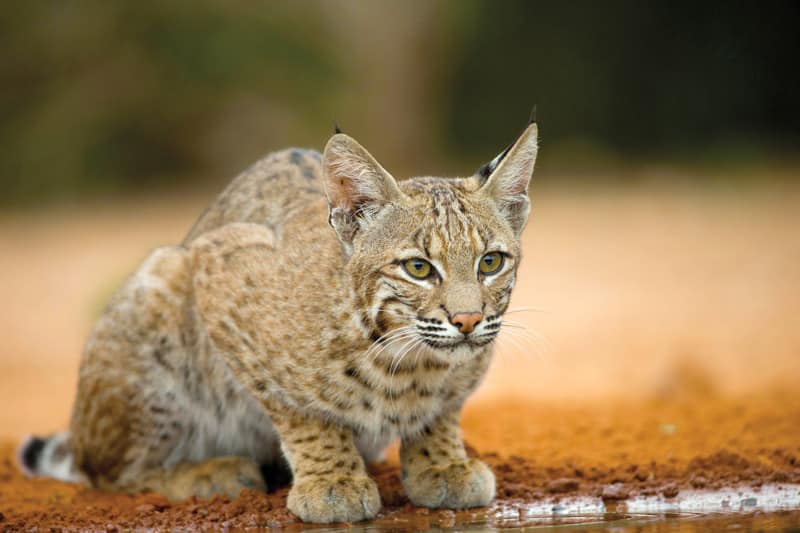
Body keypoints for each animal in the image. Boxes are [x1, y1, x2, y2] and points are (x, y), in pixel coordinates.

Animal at [18, 118, 540, 520]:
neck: (407, 358)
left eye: (490, 262)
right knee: (105, 473)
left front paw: (442, 464)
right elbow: (299, 409)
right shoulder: (216, 263)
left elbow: (443, 409)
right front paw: (332, 480)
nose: (468, 320)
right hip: (162, 280)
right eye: (418, 268)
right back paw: (206, 472)